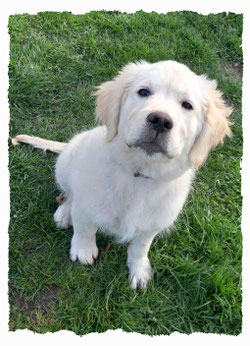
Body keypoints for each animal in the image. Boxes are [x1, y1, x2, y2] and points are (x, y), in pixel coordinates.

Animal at [12, 60, 232, 290]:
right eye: (143, 92)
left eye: (187, 105)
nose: (160, 120)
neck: (139, 174)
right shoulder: (86, 203)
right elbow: (84, 227)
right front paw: (83, 250)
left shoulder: (153, 223)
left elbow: (140, 246)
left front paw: (140, 270)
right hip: (65, 164)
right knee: (69, 193)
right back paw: (64, 213)